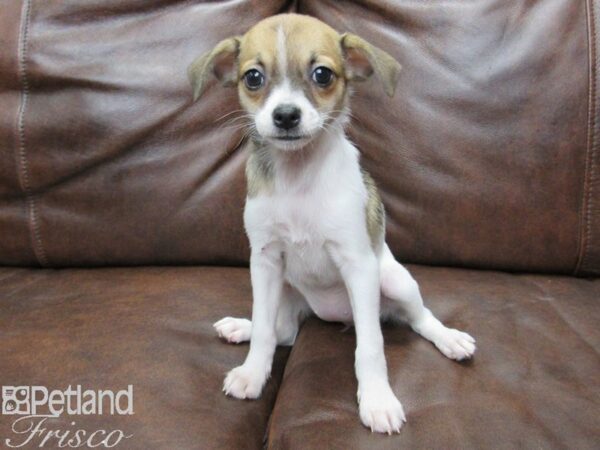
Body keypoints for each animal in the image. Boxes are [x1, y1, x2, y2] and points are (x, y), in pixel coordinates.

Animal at [190, 14, 476, 436]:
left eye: (322, 74)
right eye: (253, 78)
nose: (286, 115)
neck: (298, 177)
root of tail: (333, 314)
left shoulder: (358, 264)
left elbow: (371, 346)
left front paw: (377, 400)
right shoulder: (265, 262)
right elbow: (265, 329)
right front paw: (253, 373)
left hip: (394, 281)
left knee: (419, 319)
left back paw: (449, 338)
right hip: (287, 291)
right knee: (282, 330)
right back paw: (241, 327)